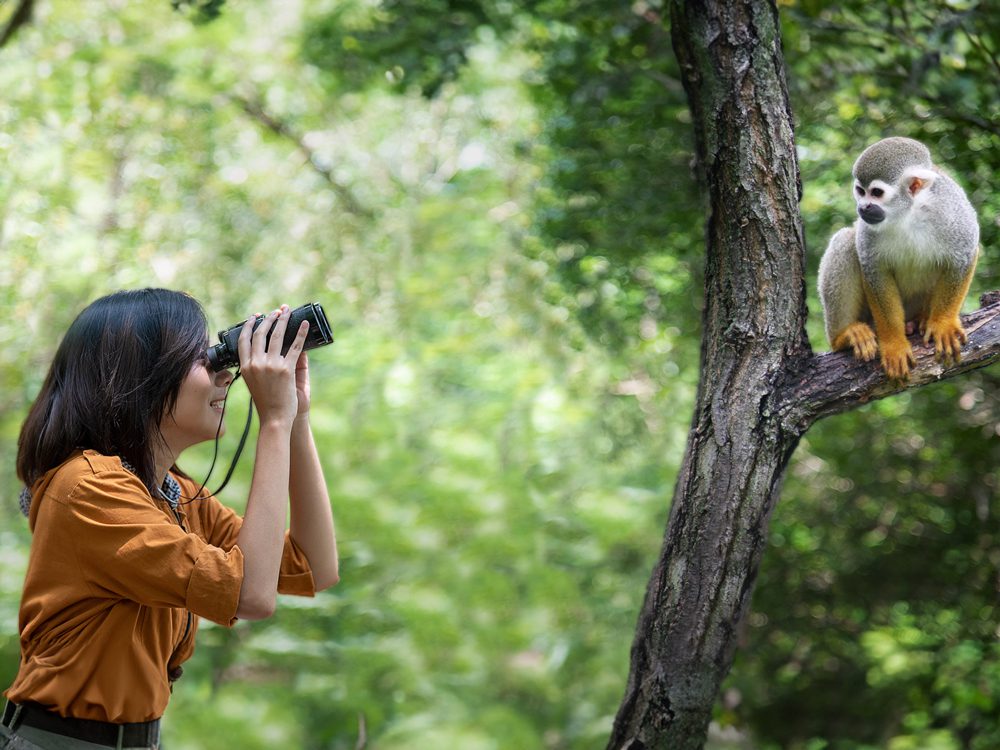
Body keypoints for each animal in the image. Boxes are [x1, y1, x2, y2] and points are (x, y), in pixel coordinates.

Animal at [816, 137, 980, 382]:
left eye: (876, 192)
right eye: (860, 191)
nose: (863, 207)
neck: (910, 211)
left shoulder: (951, 210)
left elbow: (965, 254)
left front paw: (943, 323)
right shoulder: (869, 230)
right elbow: (874, 269)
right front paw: (894, 343)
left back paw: (922, 318)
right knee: (845, 241)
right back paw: (843, 336)